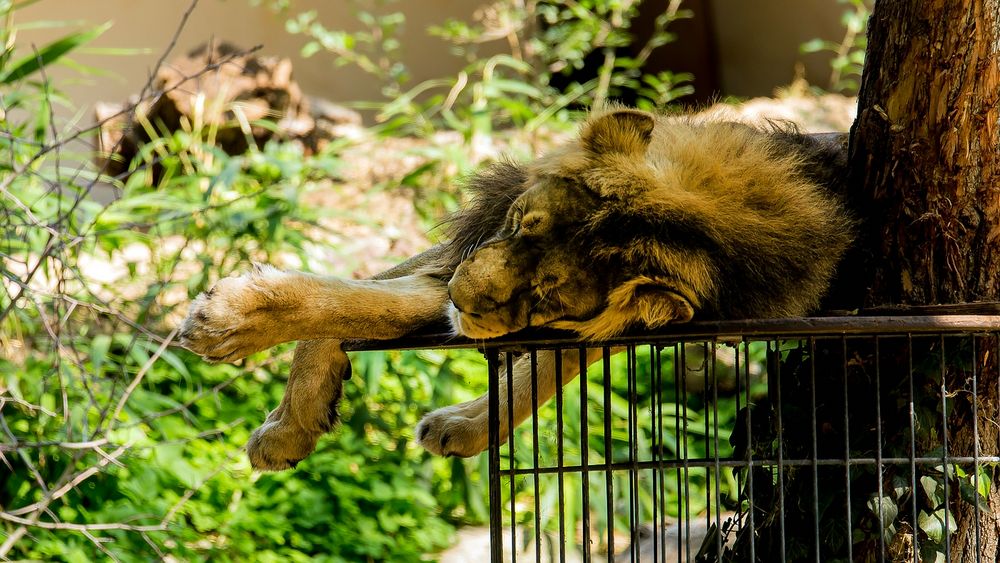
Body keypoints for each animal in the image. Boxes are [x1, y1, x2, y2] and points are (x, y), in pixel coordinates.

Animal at [178, 108, 852, 470]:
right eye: (523, 221)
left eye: (550, 293)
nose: (461, 298)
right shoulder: (463, 254)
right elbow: (348, 302)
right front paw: (273, 402)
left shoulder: (638, 321)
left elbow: (548, 371)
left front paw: (474, 425)